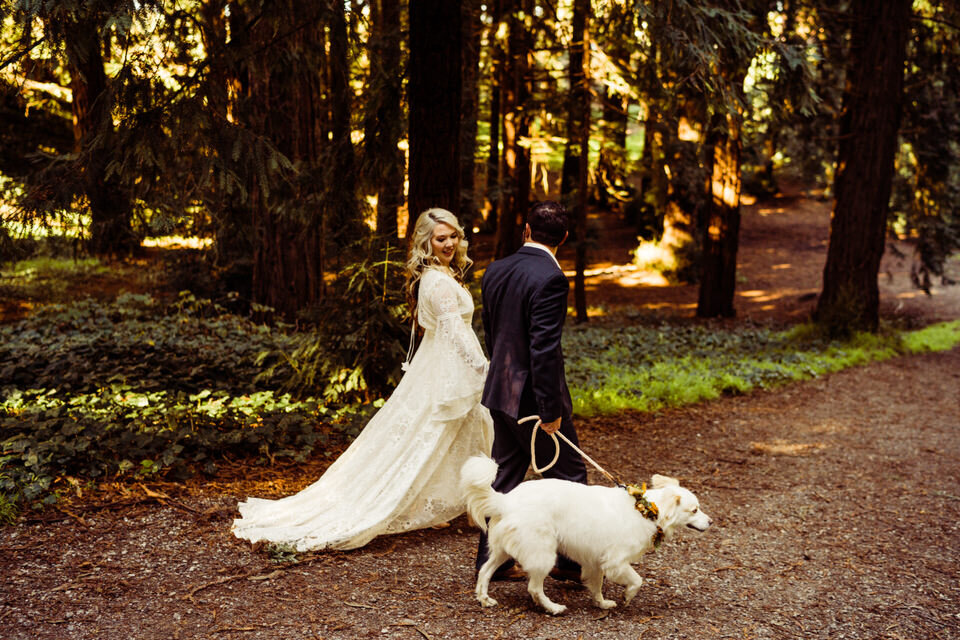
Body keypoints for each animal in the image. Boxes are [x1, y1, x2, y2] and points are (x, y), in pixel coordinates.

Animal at [462, 456, 708, 616]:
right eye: (694, 510)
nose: (711, 522)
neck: (647, 509)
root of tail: (506, 500)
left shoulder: (596, 561)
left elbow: (596, 586)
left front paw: (602, 604)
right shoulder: (616, 562)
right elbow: (637, 580)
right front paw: (627, 597)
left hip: (502, 551)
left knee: (484, 571)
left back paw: (484, 599)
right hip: (543, 554)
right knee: (534, 588)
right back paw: (553, 608)